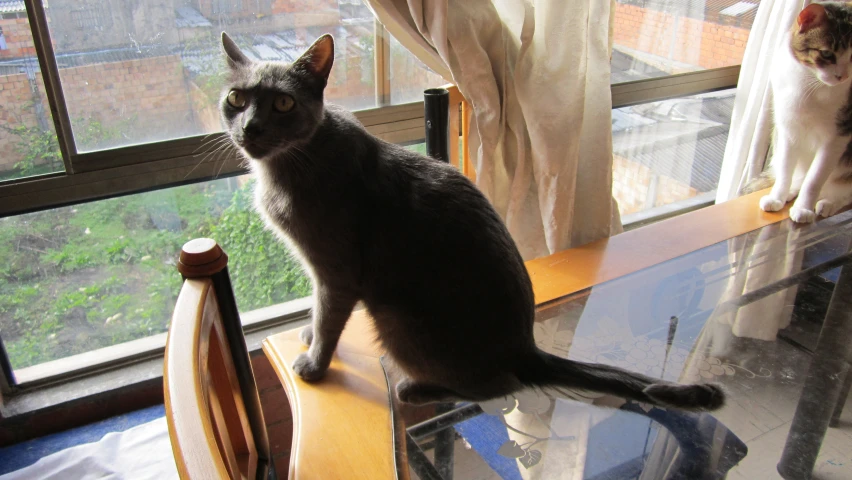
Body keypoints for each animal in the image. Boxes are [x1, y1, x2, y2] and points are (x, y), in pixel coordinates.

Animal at [220, 31, 724, 410]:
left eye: (283, 104)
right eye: (236, 98)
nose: (250, 127)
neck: (284, 171)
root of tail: (526, 347)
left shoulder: (337, 270)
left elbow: (329, 319)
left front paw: (314, 364)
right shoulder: (319, 271)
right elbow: (317, 308)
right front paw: (307, 333)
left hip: (395, 318)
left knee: (499, 385)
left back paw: (415, 388)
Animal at [764, 0, 852, 222]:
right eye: (827, 54)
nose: (843, 76)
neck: (808, 85)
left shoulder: (837, 138)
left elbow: (814, 179)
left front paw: (804, 209)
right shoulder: (787, 128)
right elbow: (786, 169)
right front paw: (778, 197)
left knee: (842, 191)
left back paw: (827, 203)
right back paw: (791, 191)